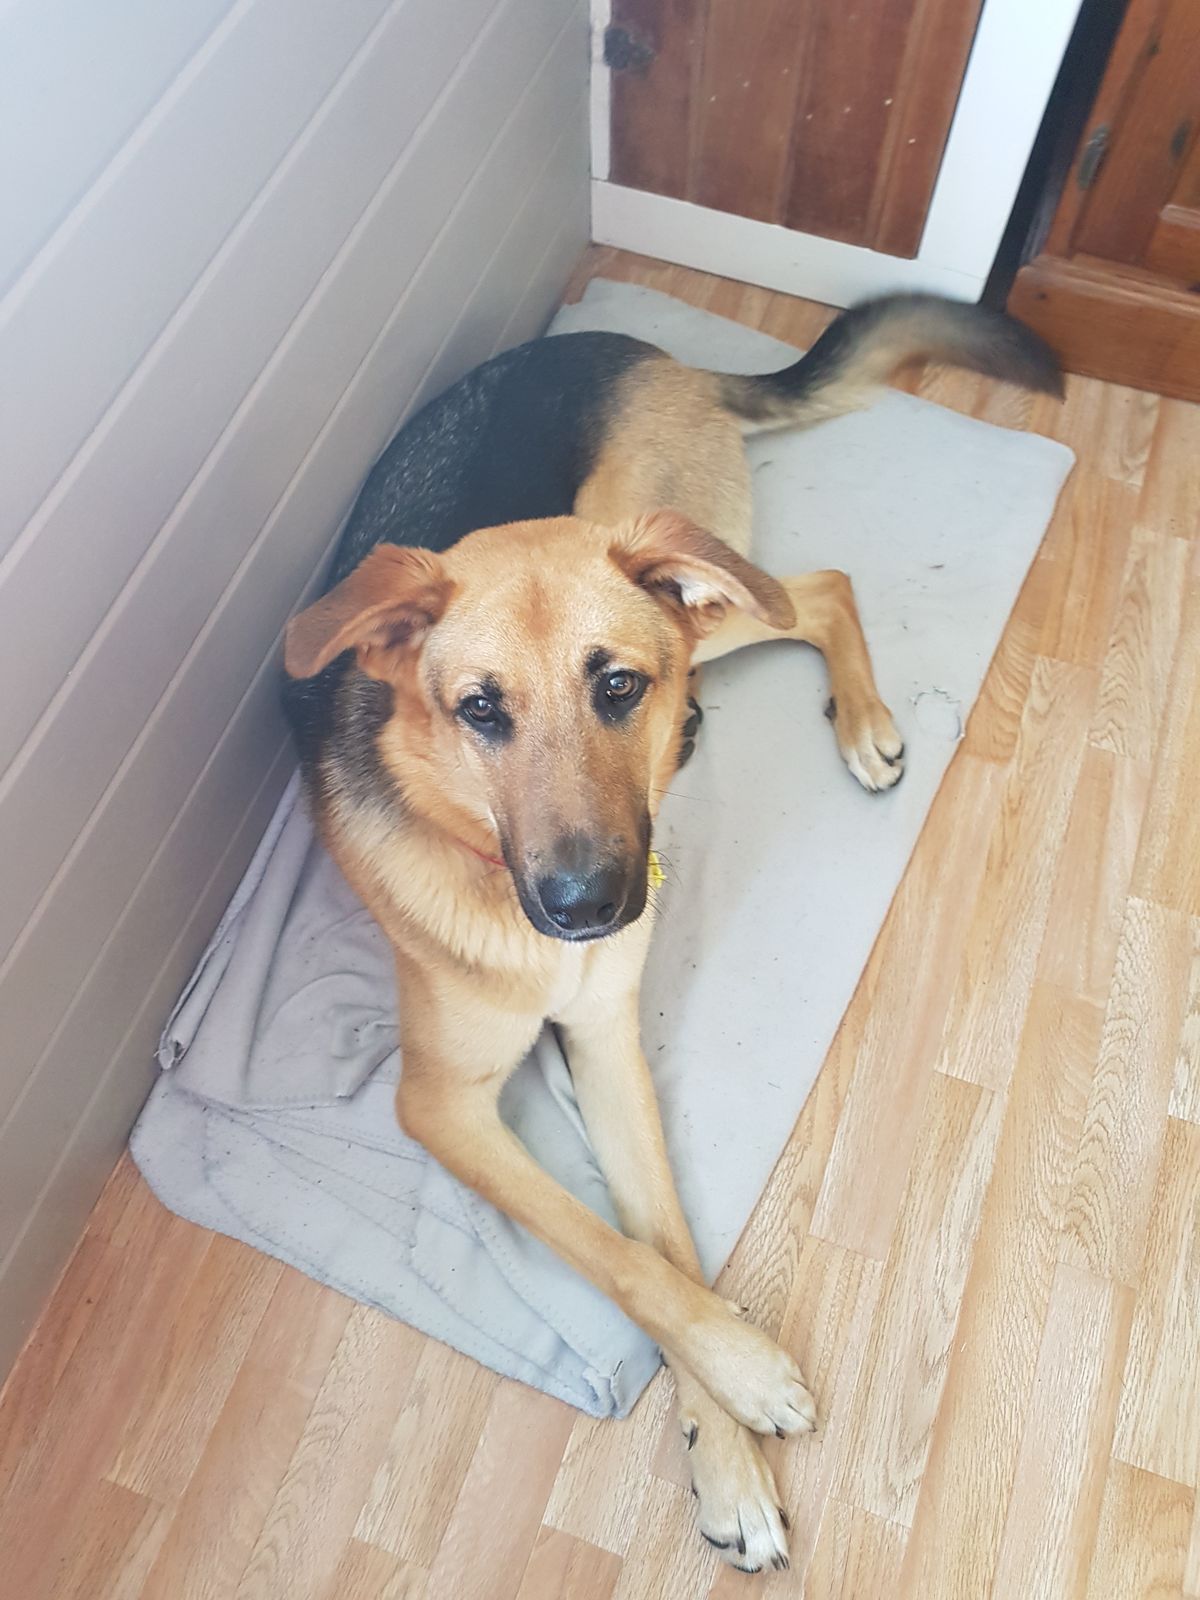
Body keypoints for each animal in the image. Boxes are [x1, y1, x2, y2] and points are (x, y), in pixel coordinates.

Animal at [282, 292, 1060, 1573]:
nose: (590, 905)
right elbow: (624, 1256)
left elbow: (663, 1247)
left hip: (691, 589)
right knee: (811, 587)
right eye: (480, 710)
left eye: (615, 687)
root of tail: (649, 352)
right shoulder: (445, 1102)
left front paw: (730, 1430)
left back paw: (855, 723)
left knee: (817, 586)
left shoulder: (605, 1044)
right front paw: (742, 1387)